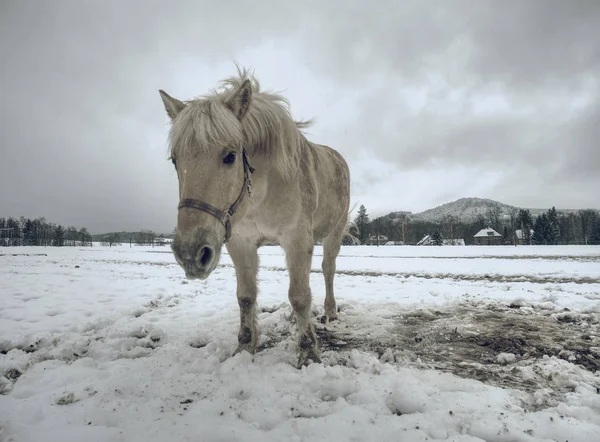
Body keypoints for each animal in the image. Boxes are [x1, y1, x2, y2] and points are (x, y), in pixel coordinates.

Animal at [159, 68, 352, 366]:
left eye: (230, 155)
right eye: (174, 160)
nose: (190, 254)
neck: (262, 192)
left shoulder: (297, 239)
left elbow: (300, 295)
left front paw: (308, 353)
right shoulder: (240, 242)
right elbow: (246, 297)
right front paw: (244, 347)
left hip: (333, 234)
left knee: (328, 270)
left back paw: (330, 312)